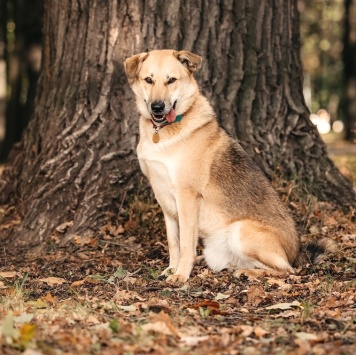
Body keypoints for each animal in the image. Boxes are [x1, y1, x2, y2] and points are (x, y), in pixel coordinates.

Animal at [124, 49, 318, 284]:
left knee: (286, 270)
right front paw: (172, 268)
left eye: (171, 80)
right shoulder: (164, 200)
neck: (163, 132)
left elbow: (186, 243)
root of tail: (298, 252)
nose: (157, 107)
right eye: (148, 80)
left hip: (241, 230)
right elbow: (173, 242)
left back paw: (248, 273)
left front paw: (181, 274)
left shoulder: (187, 197)